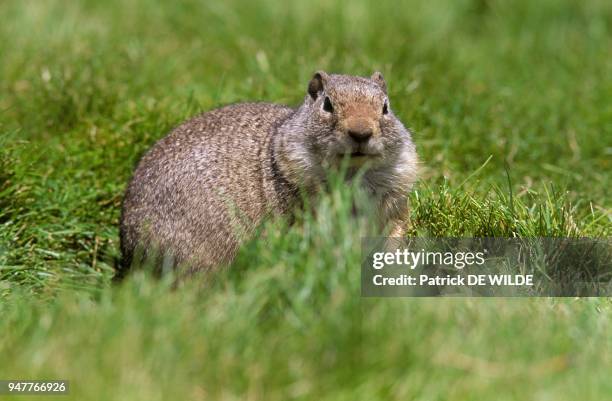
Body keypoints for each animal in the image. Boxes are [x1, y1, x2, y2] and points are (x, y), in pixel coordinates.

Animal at [119, 71, 418, 272]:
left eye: (386, 107)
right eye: (327, 104)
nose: (360, 132)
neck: (352, 174)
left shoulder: (394, 202)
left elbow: (394, 237)